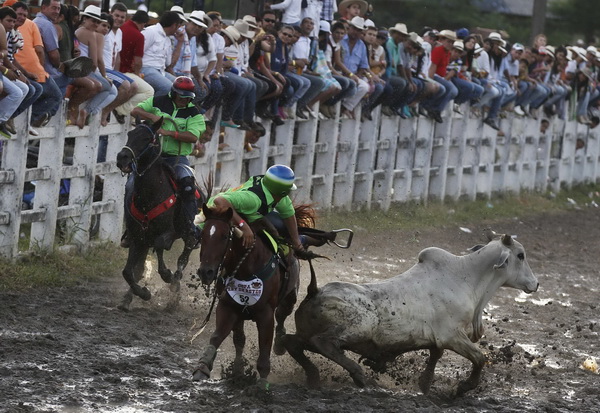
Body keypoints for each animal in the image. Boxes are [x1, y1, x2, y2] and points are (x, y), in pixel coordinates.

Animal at [115, 117, 202, 310]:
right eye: (130, 134)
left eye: (147, 138)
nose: (122, 158)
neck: (151, 195)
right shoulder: (136, 236)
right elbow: (128, 272)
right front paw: (143, 293)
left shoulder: (168, 233)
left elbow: (161, 246)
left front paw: (167, 276)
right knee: (139, 268)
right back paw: (128, 298)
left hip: (187, 235)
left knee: (182, 259)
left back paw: (174, 292)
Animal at [192, 204, 312, 388]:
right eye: (203, 235)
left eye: (225, 236)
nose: (206, 272)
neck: (247, 267)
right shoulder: (228, 306)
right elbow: (218, 337)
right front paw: (203, 367)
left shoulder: (266, 314)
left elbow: (264, 348)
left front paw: (262, 383)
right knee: (240, 338)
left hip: (290, 297)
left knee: (282, 315)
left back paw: (280, 342)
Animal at [282, 233, 540, 394]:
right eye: (520, 255)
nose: (535, 284)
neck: (466, 277)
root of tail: (315, 291)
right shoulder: (452, 336)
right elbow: (479, 358)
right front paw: (462, 389)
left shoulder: (439, 341)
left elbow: (434, 358)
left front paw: (424, 386)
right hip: (358, 327)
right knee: (324, 343)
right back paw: (361, 376)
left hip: (306, 335)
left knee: (291, 342)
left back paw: (315, 376)